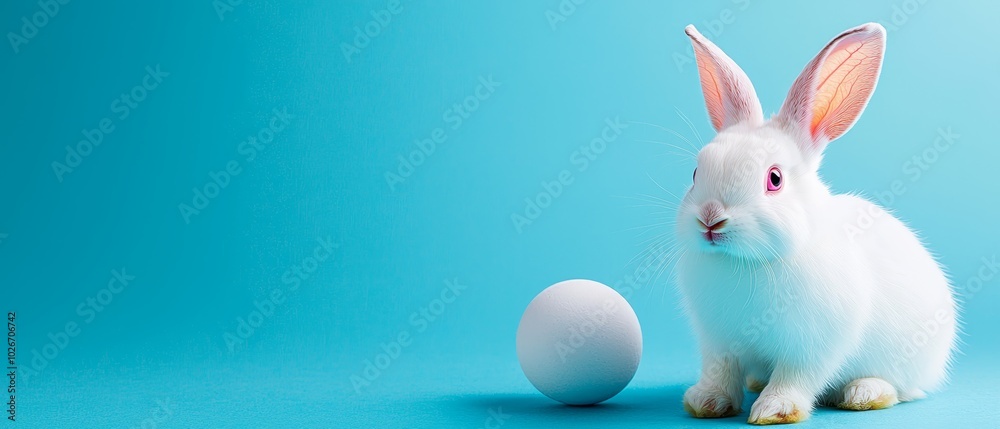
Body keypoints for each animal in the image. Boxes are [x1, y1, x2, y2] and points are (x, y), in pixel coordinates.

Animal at [676, 21, 956, 422]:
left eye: (774, 179)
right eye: (697, 173)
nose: (710, 219)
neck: (747, 263)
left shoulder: (812, 344)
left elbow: (797, 376)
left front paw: (775, 410)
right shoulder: (718, 341)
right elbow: (721, 372)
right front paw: (706, 402)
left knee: (901, 390)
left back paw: (864, 393)